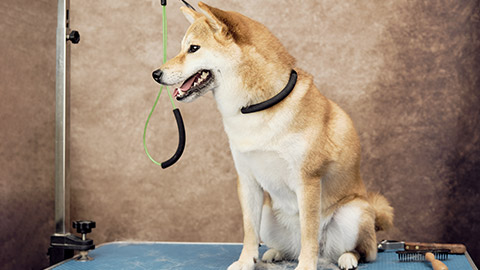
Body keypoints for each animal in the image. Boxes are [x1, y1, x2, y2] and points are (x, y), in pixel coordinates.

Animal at [153, 2, 394, 270]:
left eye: (193, 48)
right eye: (181, 48)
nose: (156, 74)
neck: (255, 107)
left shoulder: (308, 180)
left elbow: (309, 231)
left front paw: (306, 266)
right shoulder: (247, 179)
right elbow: (249, 230)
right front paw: (245, 261)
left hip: (355, 212)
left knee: (362, 250)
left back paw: (346, 258)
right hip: (269, 216)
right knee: (288, 247)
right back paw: (275, 253)